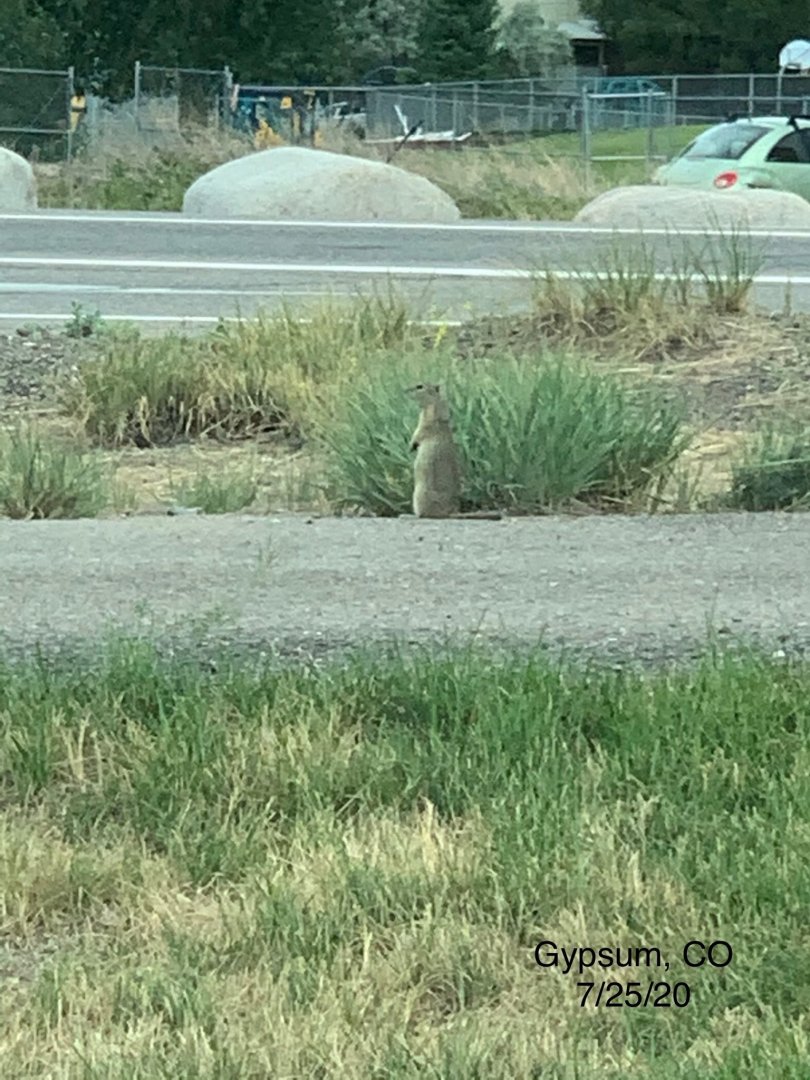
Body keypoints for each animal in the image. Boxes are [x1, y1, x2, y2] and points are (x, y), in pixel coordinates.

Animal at [406, 383, 502, 520]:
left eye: (420, 386)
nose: (405, 391)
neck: (434, 405)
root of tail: (450, 512)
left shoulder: (426, 423)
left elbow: (418, 433)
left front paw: (411, 446)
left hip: (419, 494)